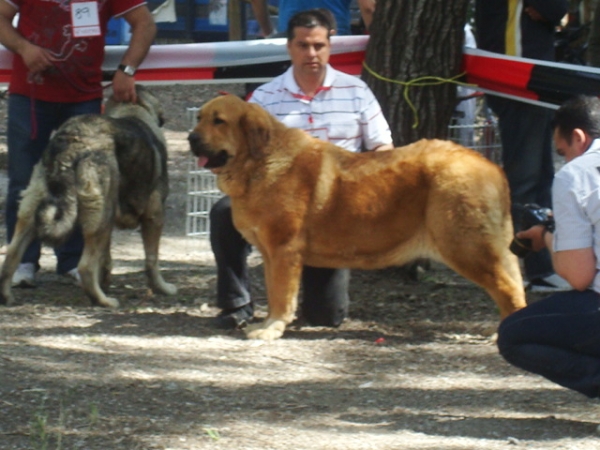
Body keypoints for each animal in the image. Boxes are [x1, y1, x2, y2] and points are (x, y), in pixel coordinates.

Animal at [0, 86, 177, 308]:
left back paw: (7, 296)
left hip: (33, 214)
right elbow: (152, 260)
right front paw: (162, 288)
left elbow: (105, 261)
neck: (133, 109)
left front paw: (105, 282)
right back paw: (103, 301)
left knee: (11, 256)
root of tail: (71, 144)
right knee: (85, 266)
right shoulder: (154, 217)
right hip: (102, 216)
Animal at [188, 96, 524, 342]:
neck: (260, 162)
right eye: (199, 118)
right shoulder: (272, 255)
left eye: (219, 121)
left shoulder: (283, 251)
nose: (191, 138)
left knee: (508, 288)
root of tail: (489, 165)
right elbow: (274, 293)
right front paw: (269, 323)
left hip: (466, 247)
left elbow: (281, 295)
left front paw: (272, 328)